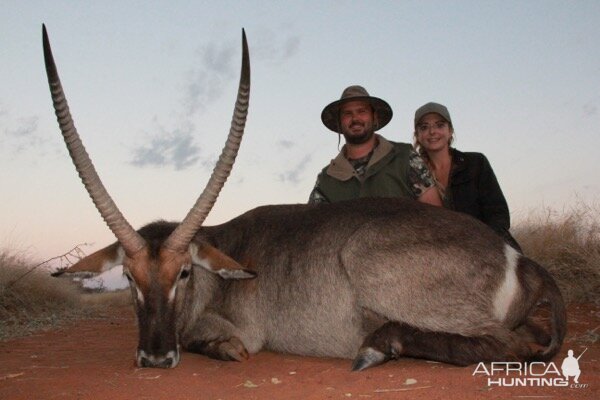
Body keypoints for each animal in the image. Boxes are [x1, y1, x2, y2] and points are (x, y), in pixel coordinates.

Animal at [43, 24, 568, 368]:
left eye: (185, 273)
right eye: (130, 278)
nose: (154, 357)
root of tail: (518, 259)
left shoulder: (241, 330)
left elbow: (213, 341)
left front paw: (219, 349)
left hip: (370, 261)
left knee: (509, 344)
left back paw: (378, 345)